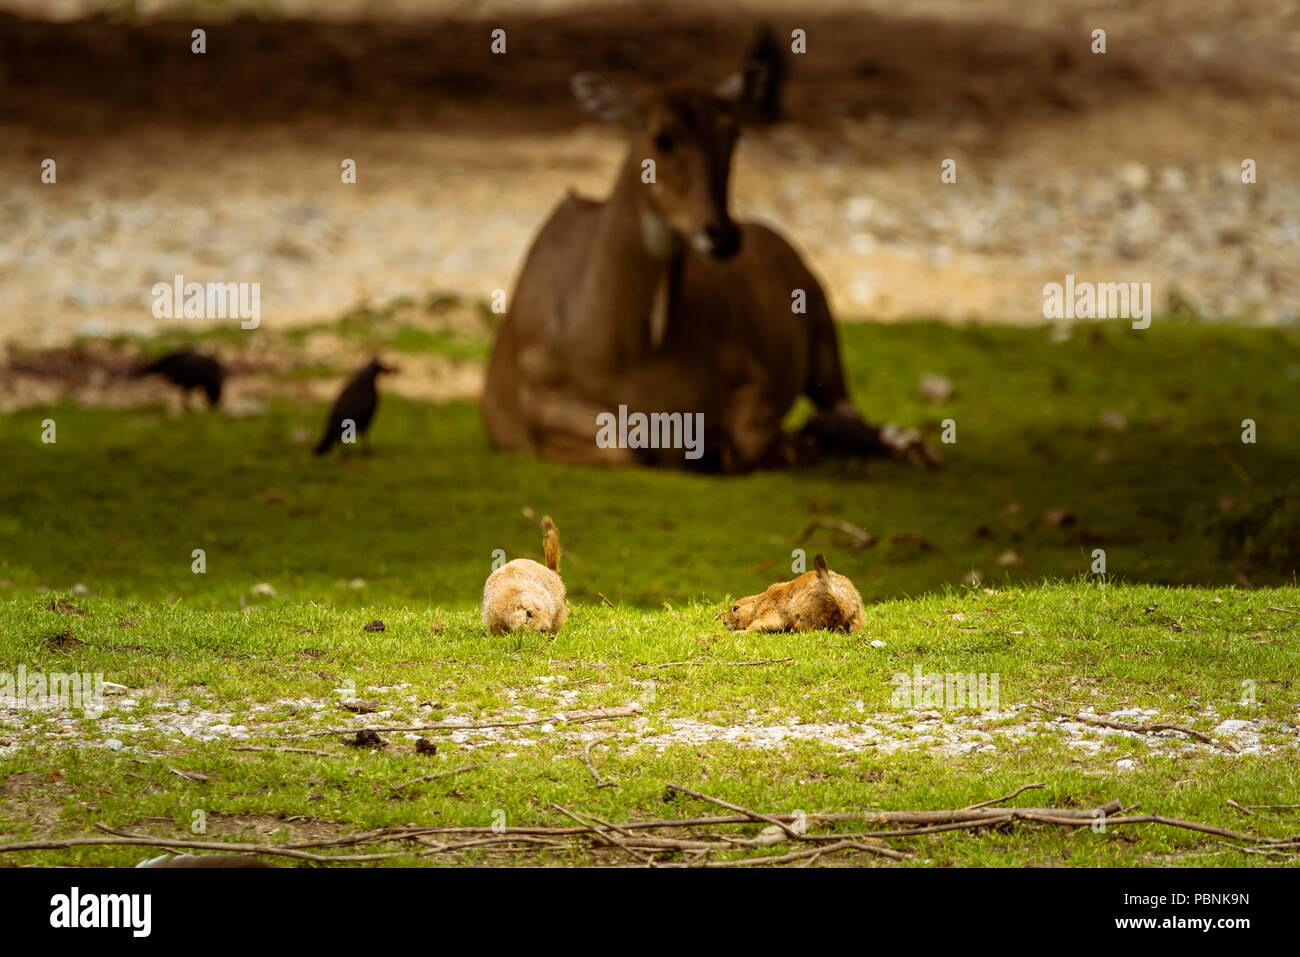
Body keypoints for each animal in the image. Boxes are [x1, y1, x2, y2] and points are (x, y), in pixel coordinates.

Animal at [478, 69, 935, 473]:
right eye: (663, 137)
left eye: (733, 134)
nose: (723, 234)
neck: (630, 349)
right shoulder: (540, 398)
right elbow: (626, 449)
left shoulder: (755, 378)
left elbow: (747, 438)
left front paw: (785, 445)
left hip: (824, 338)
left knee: (846, 413)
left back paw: (910, 446)